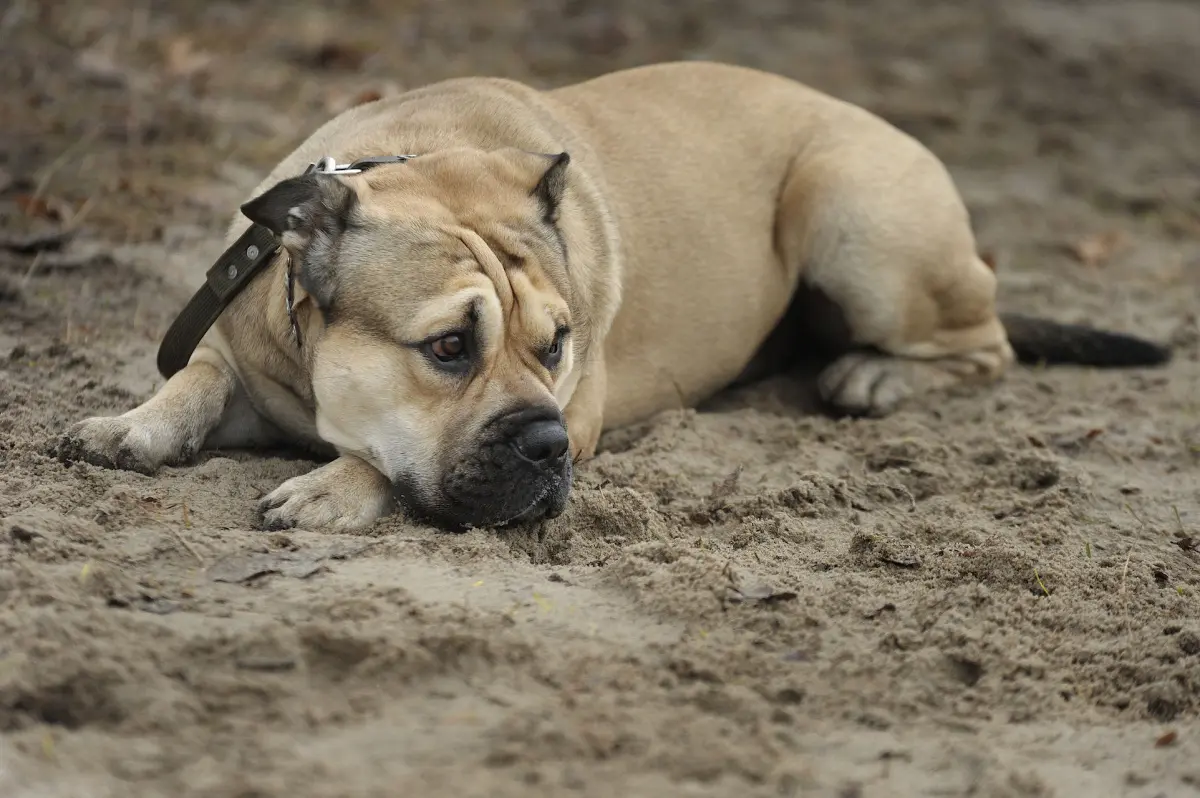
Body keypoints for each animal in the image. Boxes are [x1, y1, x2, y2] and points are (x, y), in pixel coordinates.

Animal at [56, 62, 1171, 532]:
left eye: (559, 345)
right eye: (449, 347)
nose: (546, 446)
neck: (422, 160)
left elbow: (379, 459)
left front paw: (337, 487)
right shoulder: (243, 350)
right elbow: (196, 380)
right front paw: (133, 425)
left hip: (850, 208)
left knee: (986, 345)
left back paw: (875, 376)